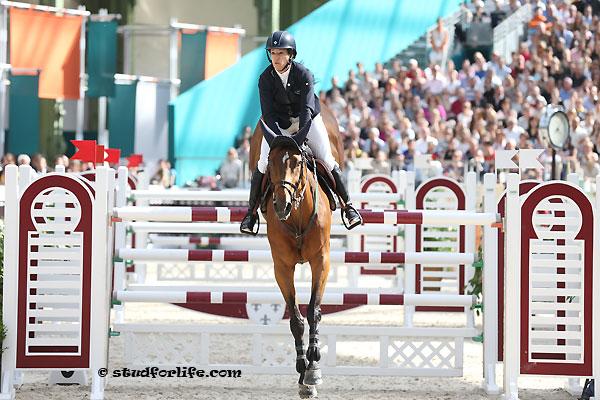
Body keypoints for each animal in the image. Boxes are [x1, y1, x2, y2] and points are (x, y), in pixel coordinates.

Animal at [247, 101, 342, 396]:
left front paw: (314, 369)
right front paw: (302, 372)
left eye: (298, 163)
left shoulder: (321, 261)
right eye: (272, 165)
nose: (282, 205)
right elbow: (296, 319)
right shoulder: (283, 267)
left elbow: (313, 311)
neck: (298, 216)